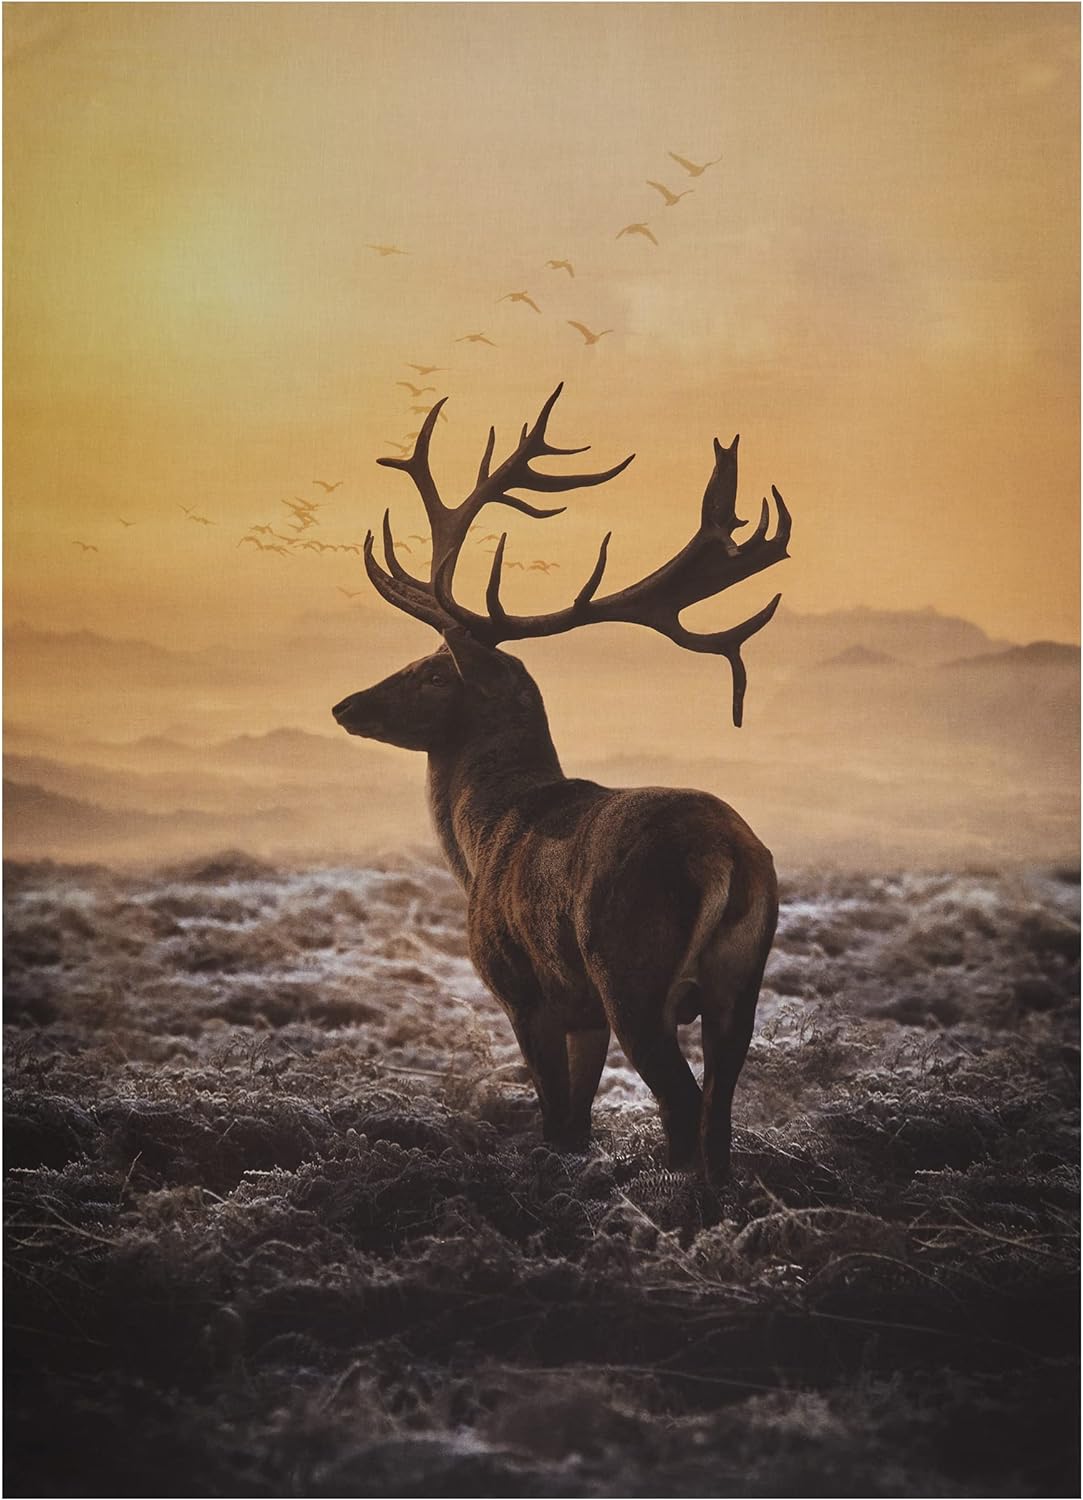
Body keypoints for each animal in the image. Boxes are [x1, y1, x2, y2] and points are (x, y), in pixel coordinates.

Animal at [332, 385, 791, 1183]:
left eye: (432, 671)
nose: (346, 705)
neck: (481, 837)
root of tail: (725, 855)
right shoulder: (583, 1016)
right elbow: (577, 1123)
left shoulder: (525, 991)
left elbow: (554, 1121)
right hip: (741, 982)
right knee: (719, 1121)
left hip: (630, 972)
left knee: (681, 1106)